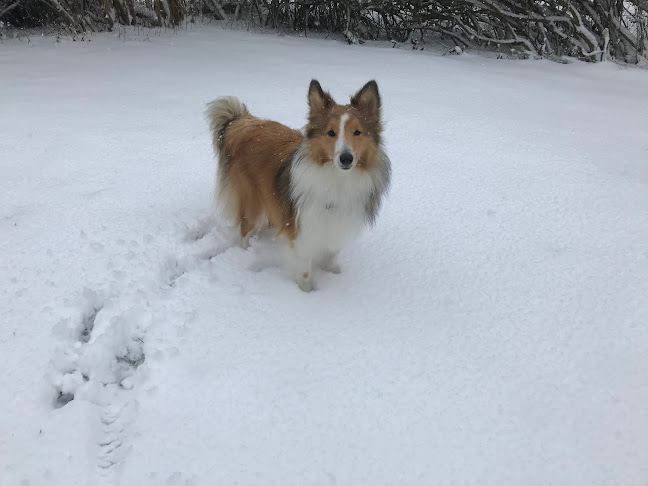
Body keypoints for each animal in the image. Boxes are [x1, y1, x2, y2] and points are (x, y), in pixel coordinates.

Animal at [208, 80, 390, 292]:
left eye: (357, 132)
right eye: (331, 133)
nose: (346, 158)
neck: (337, 179)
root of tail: (243, 123)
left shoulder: (339, 224)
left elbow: (332, 255)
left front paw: (333, 275)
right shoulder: (304, 232)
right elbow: (304, 270)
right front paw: (306, 293)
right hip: (252, 202)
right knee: (245, 229)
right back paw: (248, 251)